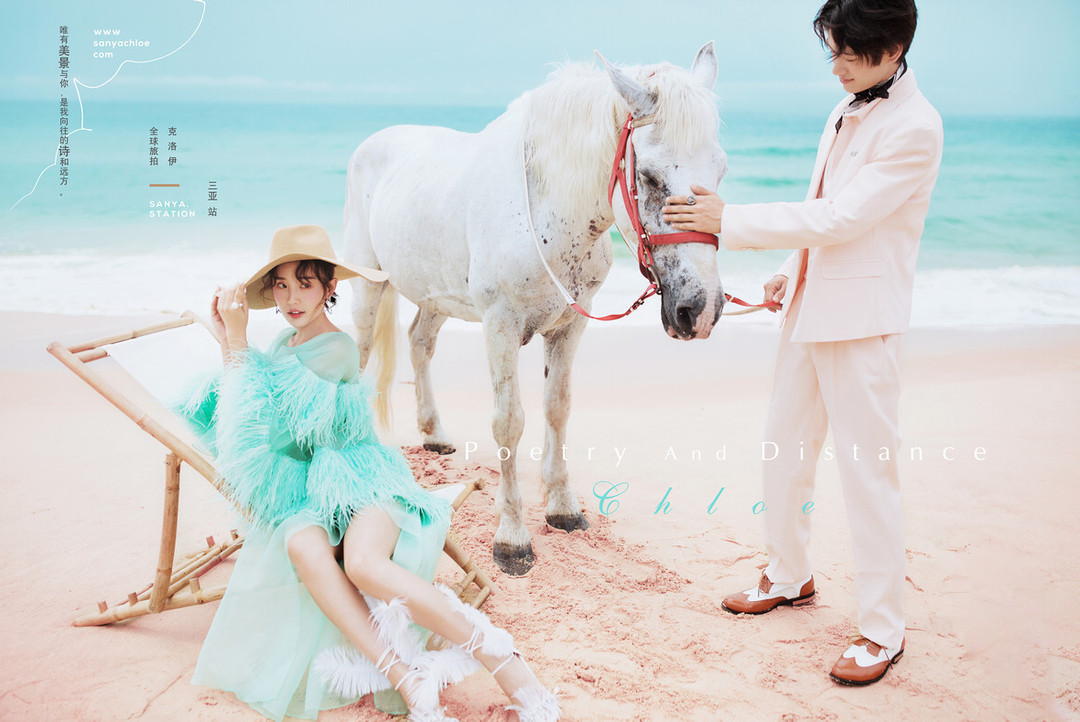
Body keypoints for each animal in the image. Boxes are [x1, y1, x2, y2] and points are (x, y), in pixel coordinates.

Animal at [344, 42, 729, 575]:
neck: (549, 206)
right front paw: (512, 539)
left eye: (720, 170)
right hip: (368, 281)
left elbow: (557, 408)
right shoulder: (500, 325)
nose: (701, 309)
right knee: (359, 349)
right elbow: (509, 421)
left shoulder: (570, 324)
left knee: (420, 342)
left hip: (435, 293)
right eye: (649, 177)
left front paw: (563, 509)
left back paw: (434, 434)